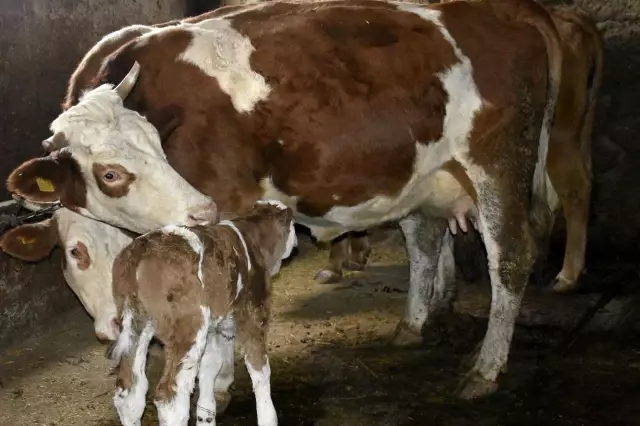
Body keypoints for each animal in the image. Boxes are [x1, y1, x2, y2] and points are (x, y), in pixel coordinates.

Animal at [6, 0, 564, 396]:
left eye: (114, 173)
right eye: (75, 254)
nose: (112, 327)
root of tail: (505, 9)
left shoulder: (227, 205)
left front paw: (219, 386)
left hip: (498, 163)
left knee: (511, 258)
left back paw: (486, 369)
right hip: (424, 174)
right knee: (425, 246)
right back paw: (412, 325)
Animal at [109, 201, 298, 426]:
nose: (296, 243)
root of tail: (140, 249)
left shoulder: (213, 328)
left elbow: (210, 367)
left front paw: (206, 416)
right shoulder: (253, 314)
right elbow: (259, 368)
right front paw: (268, 417)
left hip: (137, 324)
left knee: (129, 391)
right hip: (188, 326)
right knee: (170, 398)